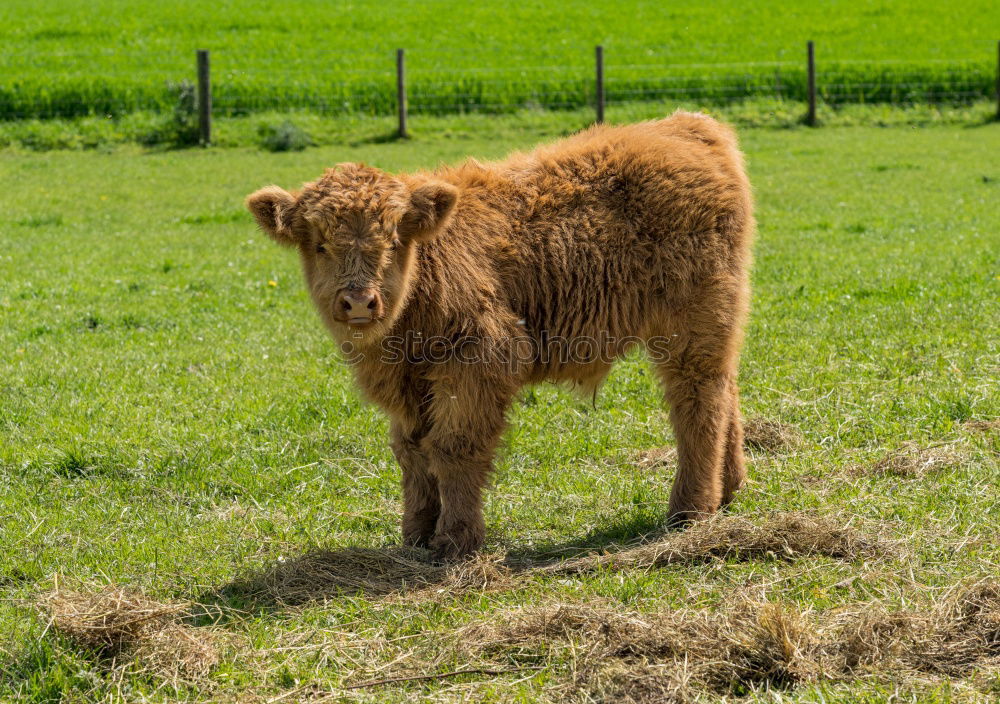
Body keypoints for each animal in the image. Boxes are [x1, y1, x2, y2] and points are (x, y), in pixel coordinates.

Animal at [246, 111, 752, 560]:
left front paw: (456, 540)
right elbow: (412, 454)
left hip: (692, 326)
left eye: (393, 240)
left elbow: (453, 448)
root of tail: (688, 126)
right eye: (319, 244)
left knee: (697, 404)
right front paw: (416, 534)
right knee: (726, 390)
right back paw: (729, 489)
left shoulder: (478, 364)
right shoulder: (407, 388)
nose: (358, 302)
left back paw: (689, 510)